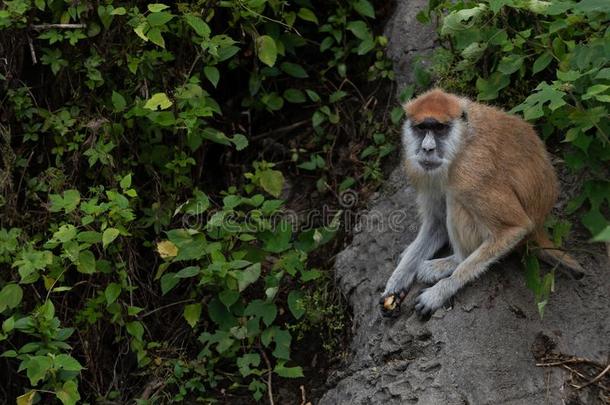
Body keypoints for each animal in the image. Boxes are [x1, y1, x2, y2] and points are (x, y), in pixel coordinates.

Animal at [380, 88, 584, 318]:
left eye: (440, 128)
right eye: (422, 128)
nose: (427, 149)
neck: (462, 140)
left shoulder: (470, 172)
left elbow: (514, 228)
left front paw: (440, 292)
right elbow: (436, 224)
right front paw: (397, 281)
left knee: (455, 201)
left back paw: (453, 261)